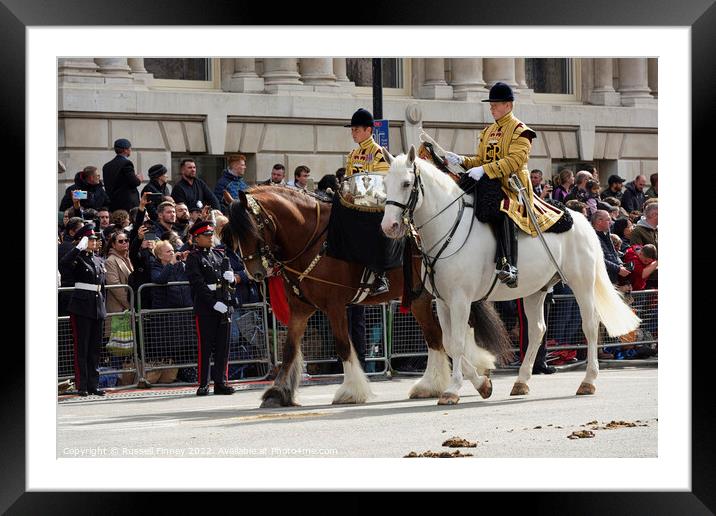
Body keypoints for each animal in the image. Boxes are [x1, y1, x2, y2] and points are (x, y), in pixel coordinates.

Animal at [227, 185, 512, 408]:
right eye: (233, 233)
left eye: (252, 228)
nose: (255, 272)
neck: (313, 238)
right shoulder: (300, 309)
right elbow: (288, 350)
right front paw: (277, 393)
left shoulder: (334, 306)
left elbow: (343, 345)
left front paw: (351, 390)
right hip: (421, 298)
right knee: (436, 337)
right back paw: (434, 384)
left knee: (450, 333)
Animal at [384, 145, 640, 404]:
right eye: (385, 183)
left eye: (406, 183)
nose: (389, 227)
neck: (447, 229)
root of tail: (582, 219)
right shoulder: (442, 301)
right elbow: (449, 342)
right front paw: (482, 384)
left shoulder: (460, 300)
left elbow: (457, 343)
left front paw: (453, 389)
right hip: (536, 290)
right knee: (537, 331)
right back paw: (521, 381)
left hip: (582, 284)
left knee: (590, 324)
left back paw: (588, 381)